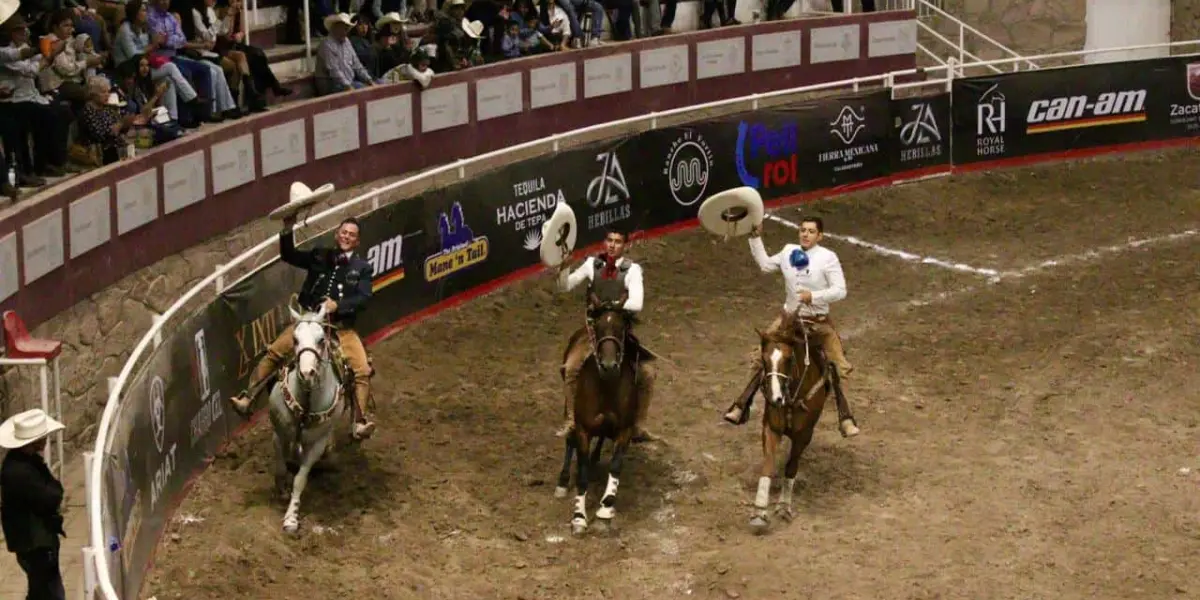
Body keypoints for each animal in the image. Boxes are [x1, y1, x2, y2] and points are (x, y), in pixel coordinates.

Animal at [267, 304, 348, 535]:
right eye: (295, 339)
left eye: (321, 340)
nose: (307, 373)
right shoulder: (279, 434)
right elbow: (280, 467)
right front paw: (281, 490)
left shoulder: (316, 445)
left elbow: (300, 479)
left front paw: (291, 518)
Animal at [552, 300, 648, 535]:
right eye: (598, 327)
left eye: (621, 328)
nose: (609, 365)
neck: (606, 386)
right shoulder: (583, 429)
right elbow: (582, 473)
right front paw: (578, 518)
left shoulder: (624, 430)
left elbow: (615, 467)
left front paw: (605, 511)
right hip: (570, 408)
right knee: (570, 442)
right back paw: (563, 481)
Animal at [744, 309, 859, 535]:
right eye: (764, 359)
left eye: (789, 359)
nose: (775, 398)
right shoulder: (771, 428)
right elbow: (768, 466)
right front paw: (759, 513)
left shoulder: (804, 434)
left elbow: (791, 467)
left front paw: (784, 507)